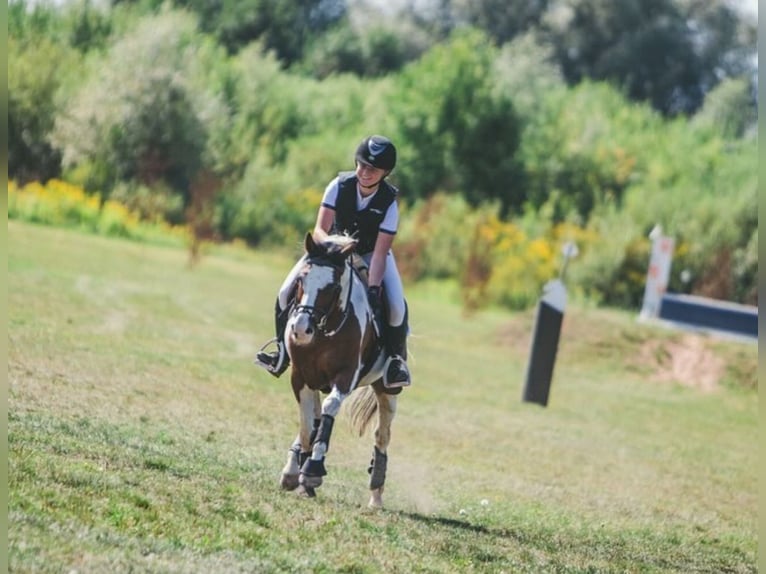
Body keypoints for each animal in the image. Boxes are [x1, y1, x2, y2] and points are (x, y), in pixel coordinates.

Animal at [280, 232, 402, 510]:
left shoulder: (345, 377)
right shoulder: (300, 377)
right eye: (301, 280)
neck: (324, 330)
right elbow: (307, 426)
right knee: (314, 418)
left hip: (387, 390)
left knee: (382, 435)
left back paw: (376, 495)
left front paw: (312, 470)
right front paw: (298, 472)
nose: (300, 330)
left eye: (333, 288)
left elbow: (328, 411)